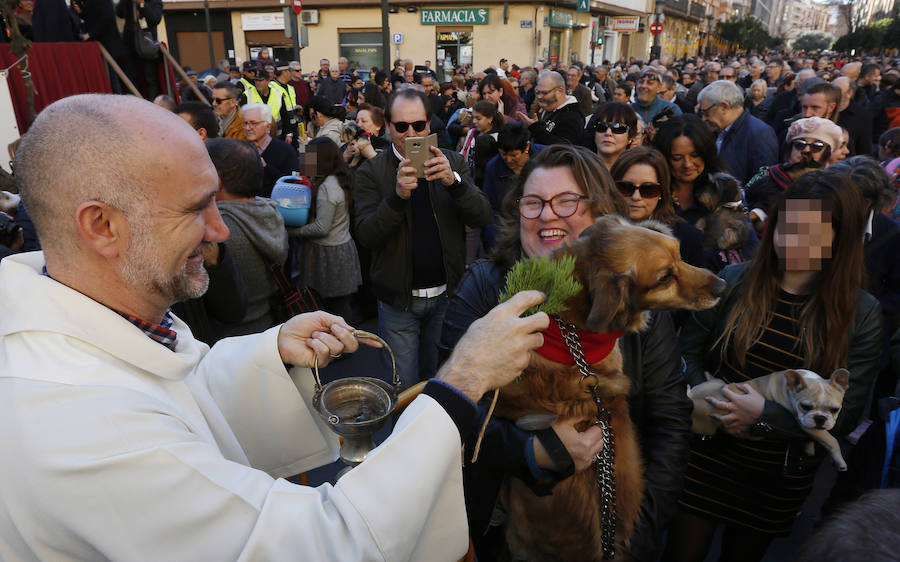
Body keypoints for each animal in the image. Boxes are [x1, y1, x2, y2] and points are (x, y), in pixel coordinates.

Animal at [688, 368, 852, 468]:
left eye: (835, 409)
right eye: (805, 407)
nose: (820, 418)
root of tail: (693, 399)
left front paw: (809, 448)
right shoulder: (804, 422)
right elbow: (831, 440)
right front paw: (841, 462)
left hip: (717, 383)